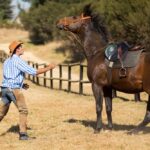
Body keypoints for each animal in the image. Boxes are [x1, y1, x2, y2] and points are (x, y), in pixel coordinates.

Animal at [56, 5, 150, 134]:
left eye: (74, 17)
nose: (59, 22)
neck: (97, 52)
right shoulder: (107, 87)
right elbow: (109, 107)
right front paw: (110, 128)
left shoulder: (97, 85)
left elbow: (99, 107)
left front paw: (98, 128)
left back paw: (133, 131)